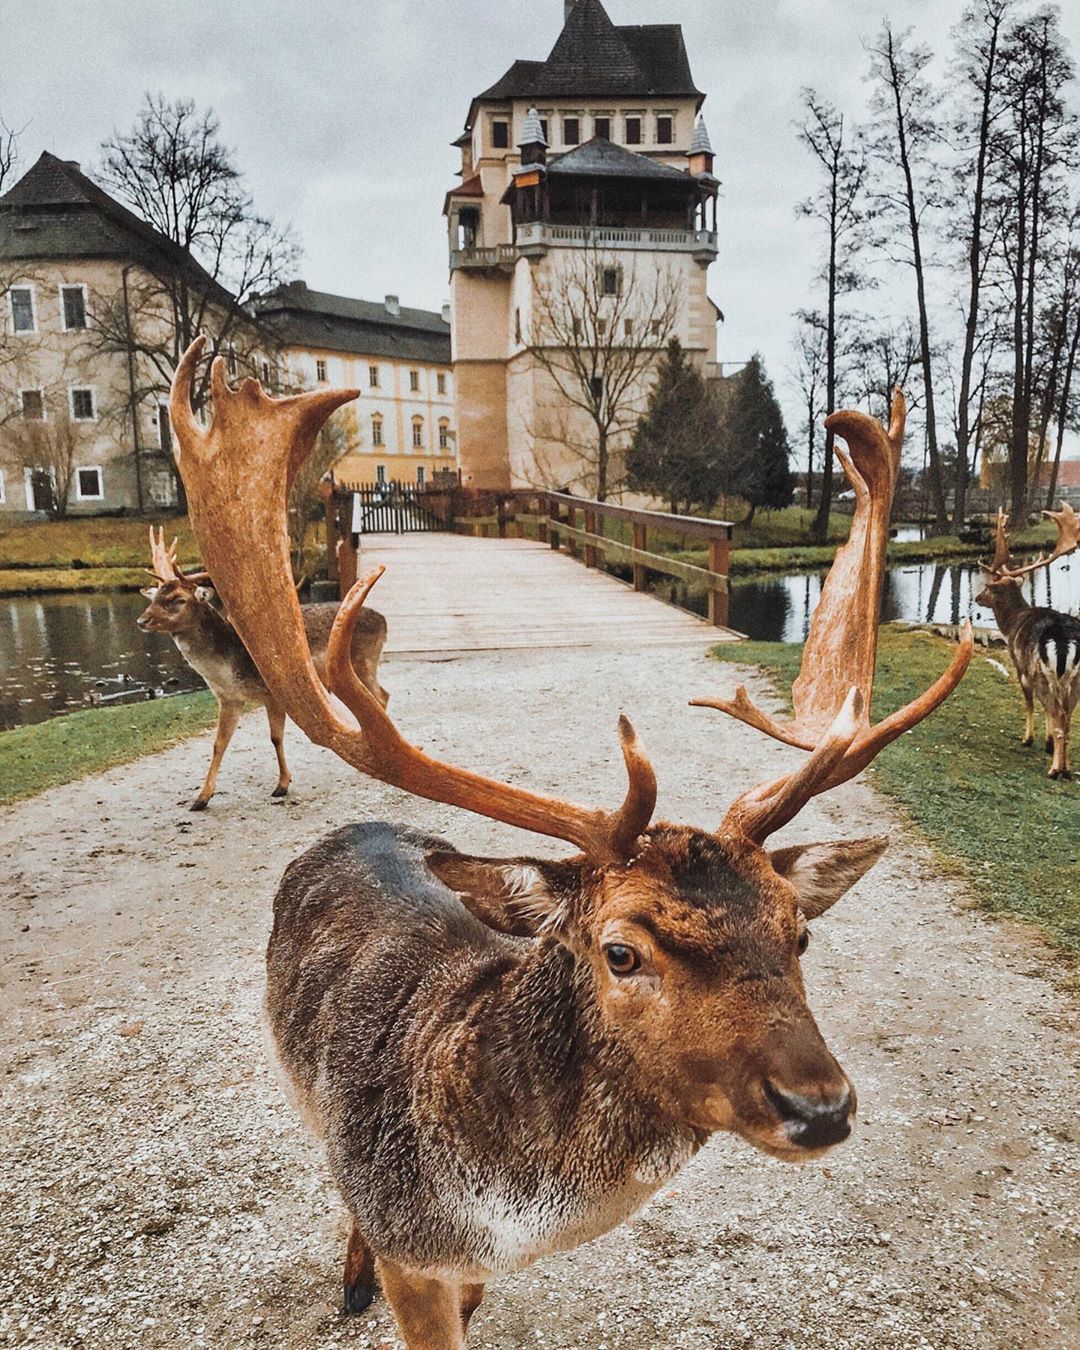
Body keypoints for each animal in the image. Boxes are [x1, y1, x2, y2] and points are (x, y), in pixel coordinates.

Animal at [134, 521, 388, 804]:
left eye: (179, 600)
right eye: (154, 598)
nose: (142, 620)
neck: (227, 668)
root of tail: (384, 621)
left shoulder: (272, 693)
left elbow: (275, 738)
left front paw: (282, 785)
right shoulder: (229, 699)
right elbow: (218, 744)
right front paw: (201, 798)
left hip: (363, 662)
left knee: (380, 696)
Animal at [170, 340, 977, 1350]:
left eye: (800, 933)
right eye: (620, 951)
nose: (821, 1108)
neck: (506, 1215)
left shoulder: (467, 1271)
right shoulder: (412, 1252)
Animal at [972, 504, 1074, 783]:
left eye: (989, 587)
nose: (976, 597)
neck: (1012, 623)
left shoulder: (1020, 666)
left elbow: (1029, 702)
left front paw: (1028, 739)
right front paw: (1048, 744)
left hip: (1041, 671)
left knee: (1058, 714)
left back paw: (1055, 769)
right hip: (1075, 681)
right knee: (1066, 718)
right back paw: (1066, 767)